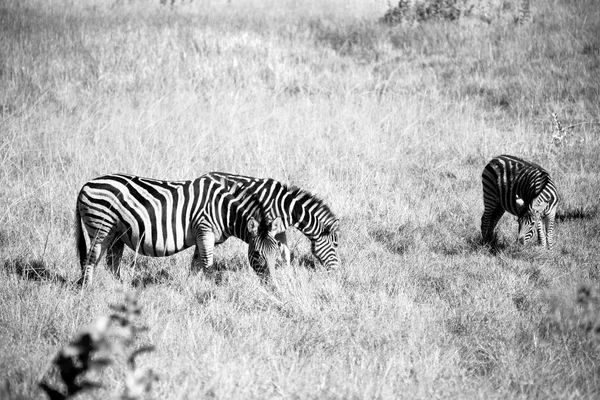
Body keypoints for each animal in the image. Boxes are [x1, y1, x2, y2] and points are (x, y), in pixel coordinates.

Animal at [75, 173, 286, 284]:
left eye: (276, 253)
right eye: (257, 254)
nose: (273, 285)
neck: (224, 209)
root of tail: (85, 185)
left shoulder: (202, 234)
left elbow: (195, 264)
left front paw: (190, 287)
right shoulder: (205, 228)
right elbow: (208, 264)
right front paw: (212, 289)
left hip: (117, 233)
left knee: (113, 262)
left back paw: (120, 288)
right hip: (101, 228)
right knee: (91, 259)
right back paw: (88, 289)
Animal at [204, 171, 340, 268]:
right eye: (335, 245)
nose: (337, 270)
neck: (287, 207)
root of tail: (206, 174)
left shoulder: (279, 230)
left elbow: (286, 254)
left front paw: (288, 275)